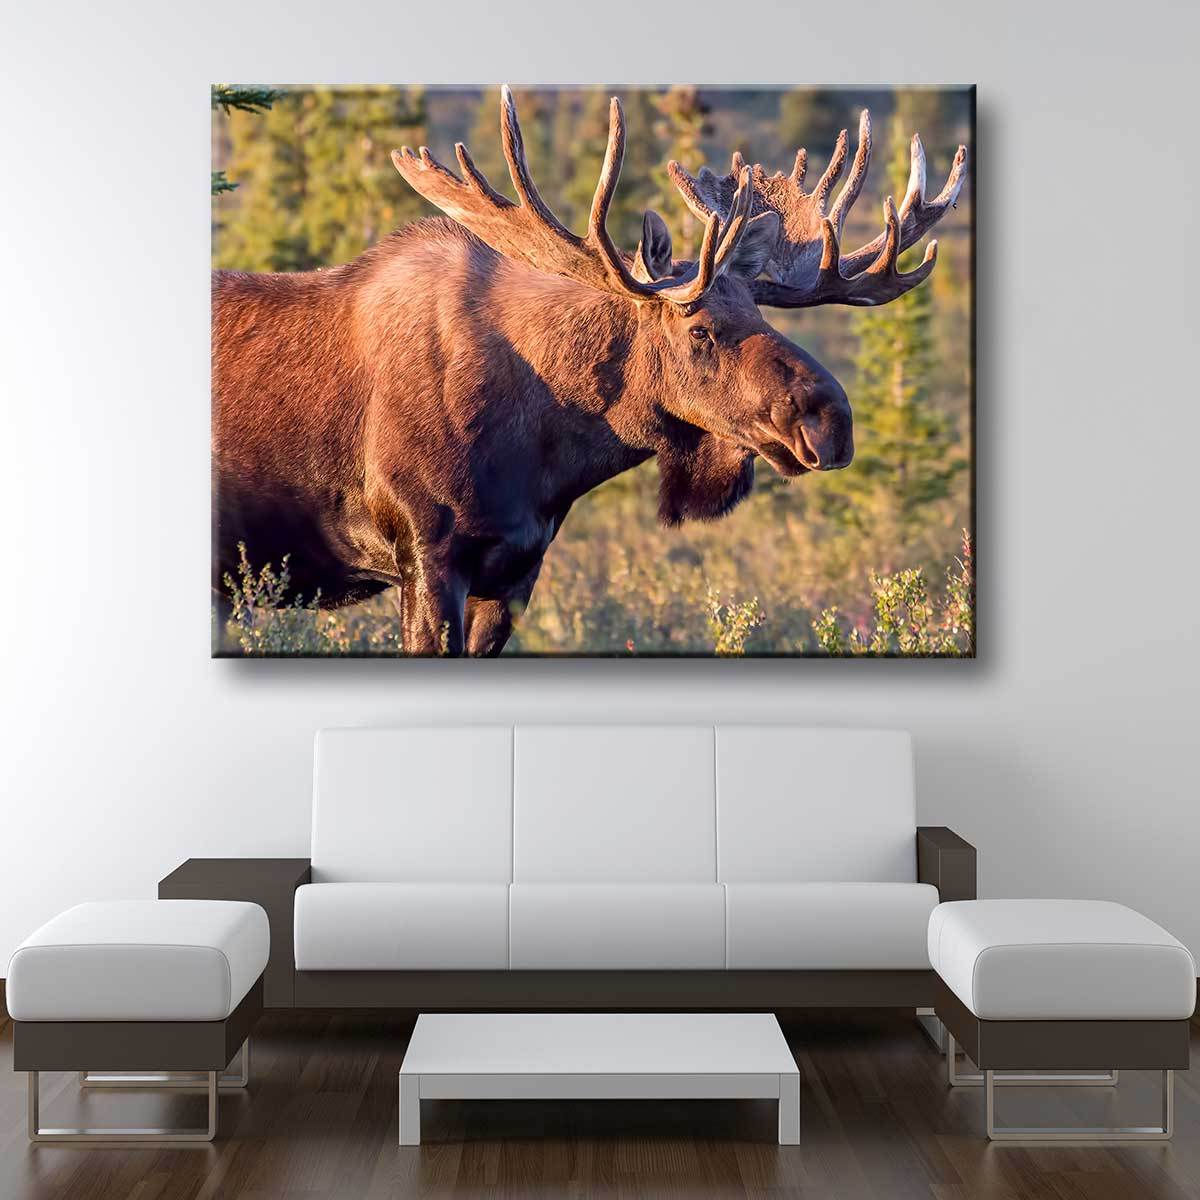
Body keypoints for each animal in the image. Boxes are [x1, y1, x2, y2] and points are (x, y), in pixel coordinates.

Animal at [212, 87, 967, 655]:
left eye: (760, 312)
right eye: (699, 328)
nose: (831, 420)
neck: (546, 450)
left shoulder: (516, 572)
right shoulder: (425, 556)